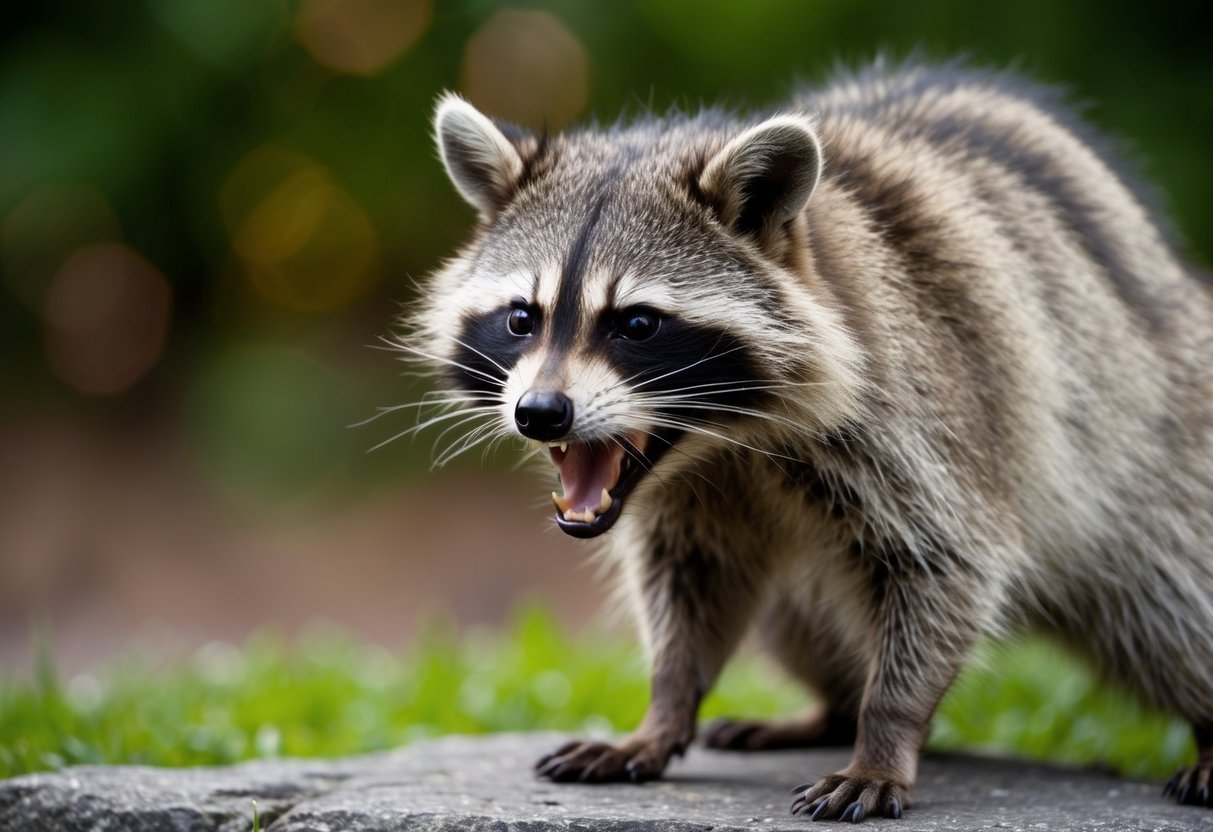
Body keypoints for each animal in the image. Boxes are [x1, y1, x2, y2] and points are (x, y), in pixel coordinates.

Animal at [402, 61, 1213, 822]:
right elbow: (687, 587)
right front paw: (664, 708)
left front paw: (886, 734)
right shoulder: (693, 503)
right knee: (796, 620)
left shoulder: (927, 413)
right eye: (521, 318)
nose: (540, 413)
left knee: (1173, 608)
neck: (726, 440)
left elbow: (946, 565)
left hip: (1157, 457)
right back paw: (828, 710)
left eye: (635, 323)